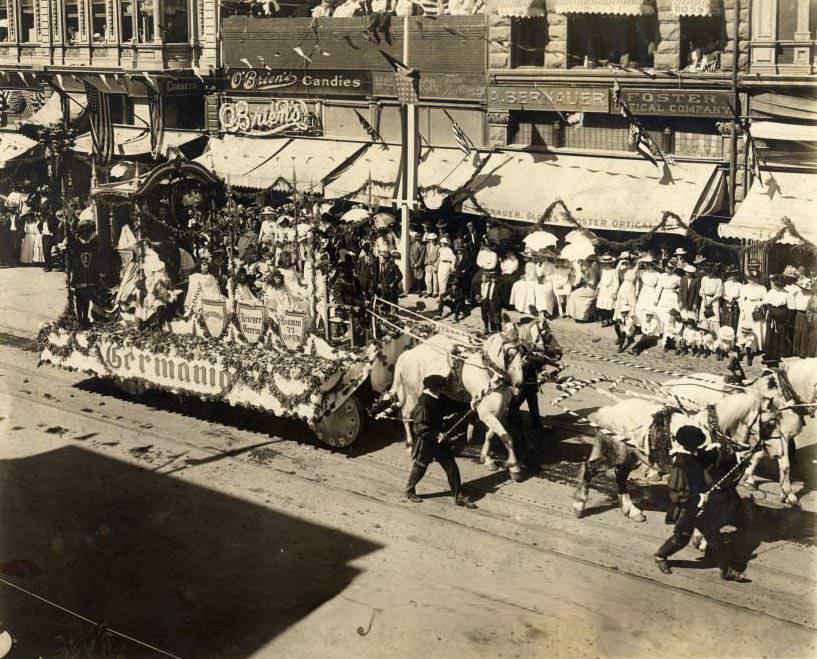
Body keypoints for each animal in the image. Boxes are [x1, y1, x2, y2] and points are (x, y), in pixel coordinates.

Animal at [386, 320, 524, 480]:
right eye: (510, 354)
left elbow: (491, 435)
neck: (489, 375)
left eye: (522, 352)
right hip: (413, 394)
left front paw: (487, 458)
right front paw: (514, 467)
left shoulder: (496, 413)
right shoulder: (487, 415)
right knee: (407, 416)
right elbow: (508, 438)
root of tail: (407, 354)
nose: (519, 383)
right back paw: (409, 444)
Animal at [572, 390, 776, 524]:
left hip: (632, 456)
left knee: (620, 477)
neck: (715, 433)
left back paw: (632, 511)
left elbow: (733, 500)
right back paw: (579, 506)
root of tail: (609, 410)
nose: (774, 452)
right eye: (773, 420)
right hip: (618, 453)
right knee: (590, 469)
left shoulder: (719, 479)